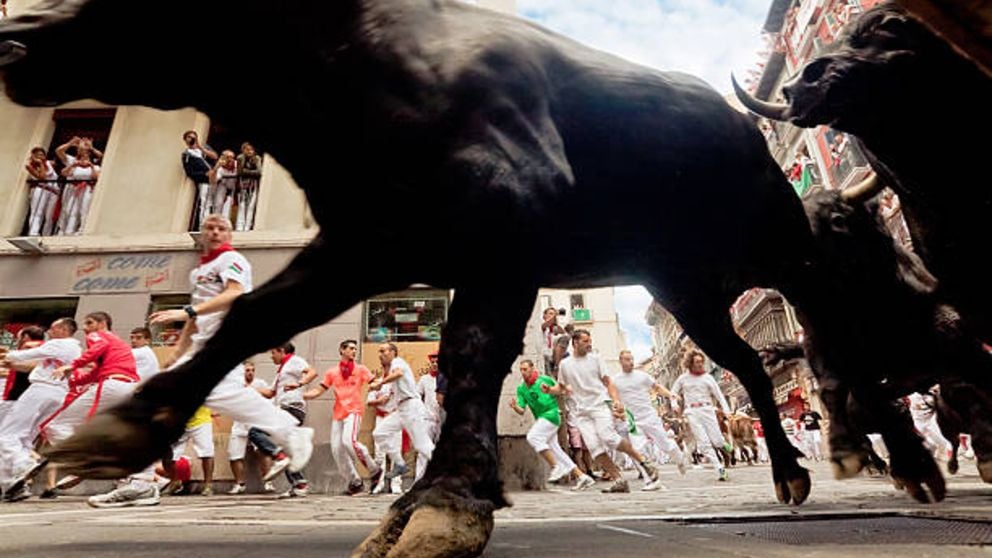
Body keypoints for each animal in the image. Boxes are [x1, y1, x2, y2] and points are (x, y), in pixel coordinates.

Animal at [0, 0, 852, 556]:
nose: (15, 34)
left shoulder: (504, 226)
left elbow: (471, 357)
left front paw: (443, 503)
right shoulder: (366, 243)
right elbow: (251, 319)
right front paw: (126, 428)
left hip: (775, 239)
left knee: (813, 309)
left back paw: (849, 446)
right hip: (684, 286)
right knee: (746, 363)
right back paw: (797, 467)